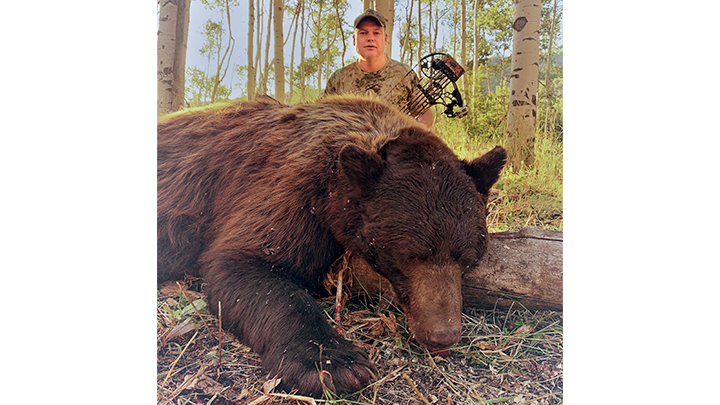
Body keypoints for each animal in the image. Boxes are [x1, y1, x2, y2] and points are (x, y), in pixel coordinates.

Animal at [158, 95, 506, 398]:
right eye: (409, 256)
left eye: (467, 259)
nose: (442, 334)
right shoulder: (294, 185)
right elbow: (245, 261)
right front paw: (335, 365)